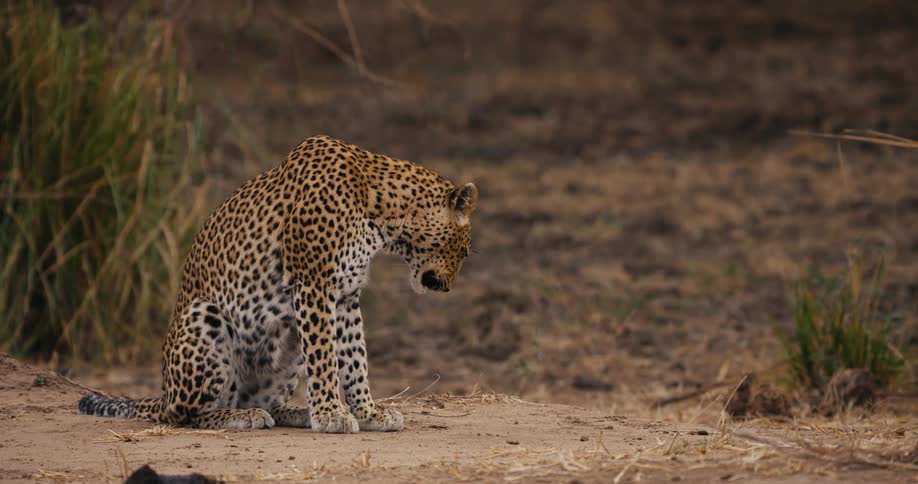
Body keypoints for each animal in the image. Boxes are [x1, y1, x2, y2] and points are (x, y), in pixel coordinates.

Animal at [79, 135, 478, 433]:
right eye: (464, 250)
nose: (448, 287)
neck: (383, 216)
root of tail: (162, 394)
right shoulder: (315, 284)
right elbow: (325, 357)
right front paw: (331, 414)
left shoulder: (346, 296)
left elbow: (354, 357)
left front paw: (366, 412)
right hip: (204, 318)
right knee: (187, 416)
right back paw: (241, 417)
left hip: (287, 338)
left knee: (260, 398)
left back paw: (292, 412)